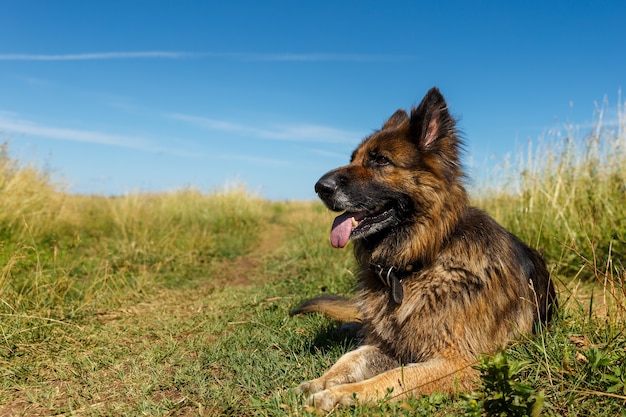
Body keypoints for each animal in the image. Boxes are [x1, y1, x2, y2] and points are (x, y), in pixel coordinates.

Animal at [290, 85, 552, 410]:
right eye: (353, 158)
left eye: (381, 160)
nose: (319, 187)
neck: (417, 262)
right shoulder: (390, 344)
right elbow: (351, 358)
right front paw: (320, 382)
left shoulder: (459, 363)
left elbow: (391, 379)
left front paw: (338, 394)